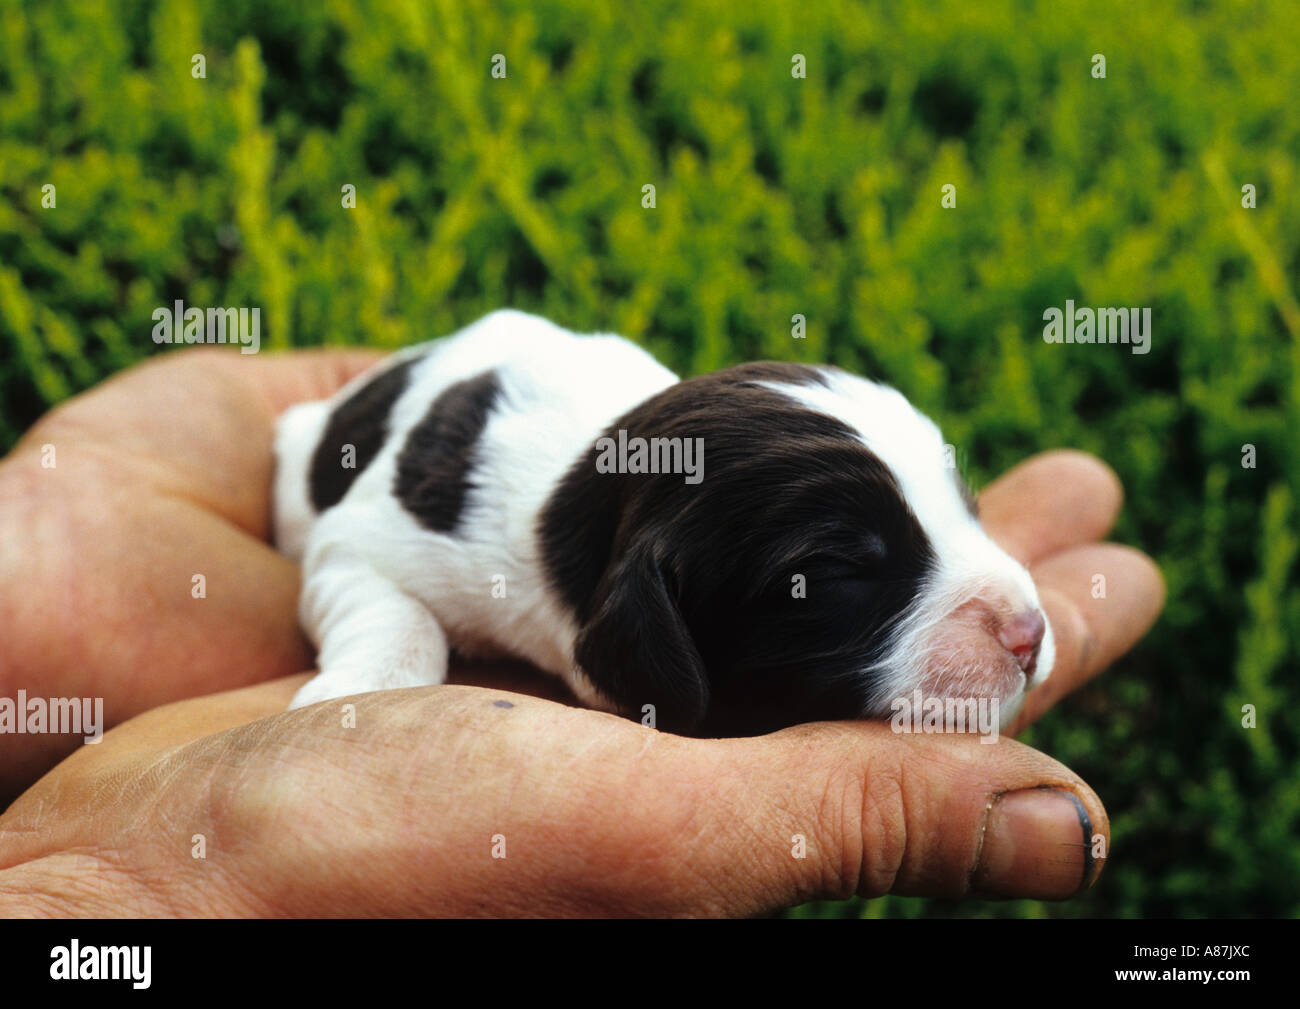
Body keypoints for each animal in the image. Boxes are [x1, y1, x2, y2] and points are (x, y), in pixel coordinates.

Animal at [269, 306, 1050, 733]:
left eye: (968, 509)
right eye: (836, 572)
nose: (1030, 634)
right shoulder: (362, 543)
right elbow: (397, 610)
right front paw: (356, 690)